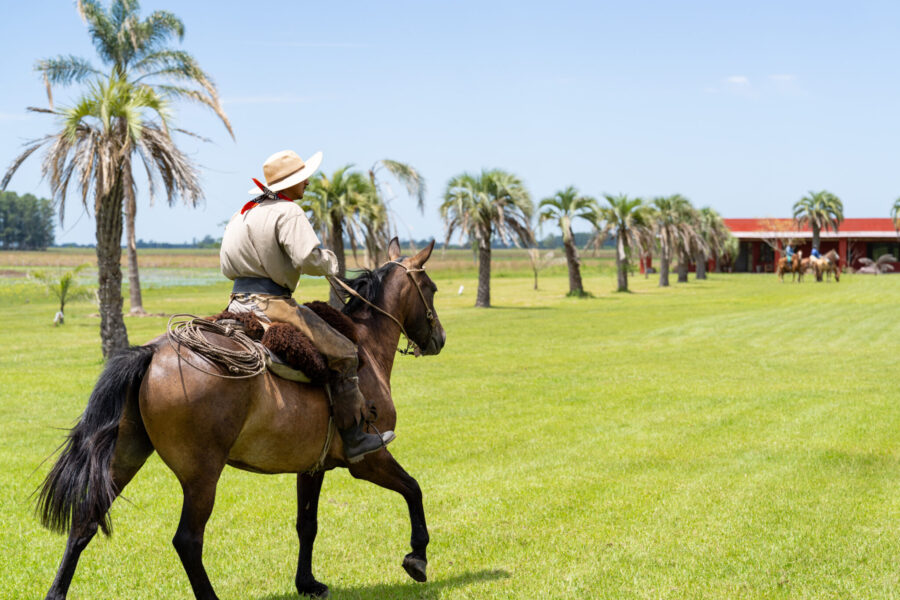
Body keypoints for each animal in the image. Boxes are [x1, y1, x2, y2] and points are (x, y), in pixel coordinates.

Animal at [37, 238, 445, 600]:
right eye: (432, 288)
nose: (439, 338)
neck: (366, 347)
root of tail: (152, 353)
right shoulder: (369, 459)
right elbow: (414, 489)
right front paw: (417, 557)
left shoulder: (312, 466)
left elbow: (307, 524)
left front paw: (307, 583)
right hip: (202, 475)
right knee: (187, 540)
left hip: (126, 456)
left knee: (85, 521)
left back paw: (56, 592)